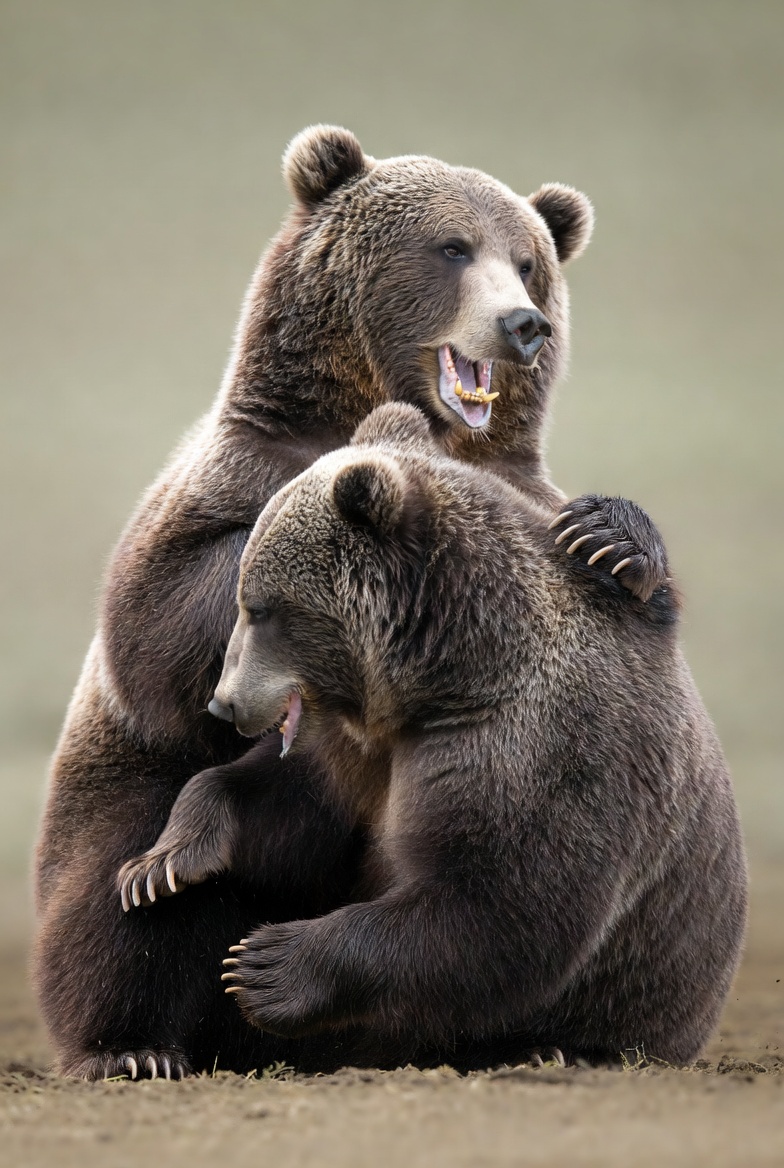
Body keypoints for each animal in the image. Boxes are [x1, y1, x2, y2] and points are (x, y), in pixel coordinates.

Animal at [33, 123, 660, 1080]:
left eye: (528, 262)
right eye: (453, 247)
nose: (523, 324)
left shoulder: (522, 494)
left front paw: (614, 536)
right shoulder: (220, 480)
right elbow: (163, 615)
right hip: (115, 802)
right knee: (123, 907)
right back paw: (133, 1046)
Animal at [117, 403, 747, 1068]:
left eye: (261, 607)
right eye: (243, 598)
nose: (224, 702)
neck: (446, 676)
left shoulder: (530, 746)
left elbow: (497, 909)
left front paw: (263, 965)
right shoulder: (358, 750)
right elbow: (288, 803)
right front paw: (160, 865)